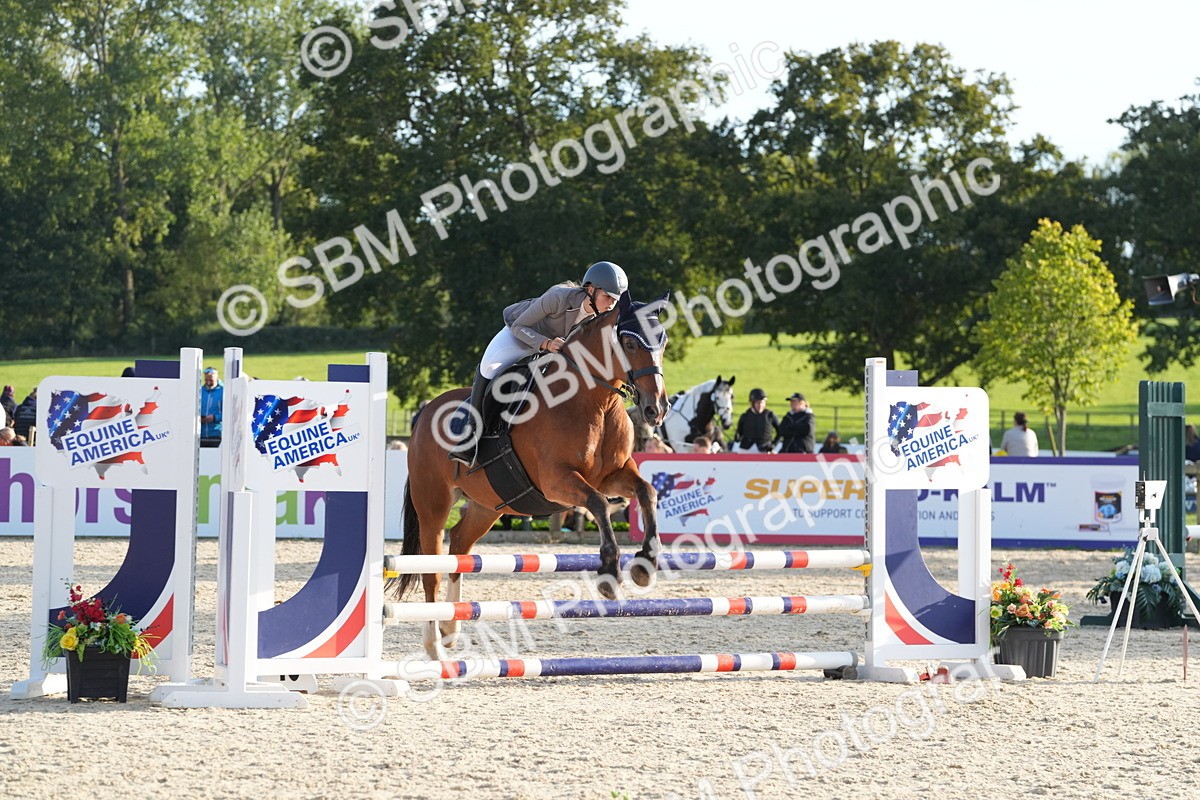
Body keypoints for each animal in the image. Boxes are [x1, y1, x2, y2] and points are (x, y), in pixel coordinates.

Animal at [395, 291, 671, 658]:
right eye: (628, 342)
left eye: (663, 341)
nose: (657, 409)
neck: (594, 401)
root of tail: (424, 415)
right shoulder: (557, 481)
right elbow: (598, 504)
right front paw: (610, 573)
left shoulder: (613, 475)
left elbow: (647, 492)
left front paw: (644, 565)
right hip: (433, 504)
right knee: (432, 570)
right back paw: (435, 647)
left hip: (487, 505)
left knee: (460, 544)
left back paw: (451, 628)